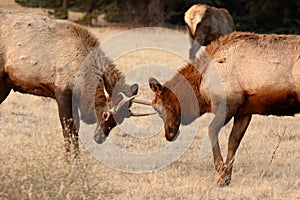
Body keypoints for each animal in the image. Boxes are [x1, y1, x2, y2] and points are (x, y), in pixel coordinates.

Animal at [148, 31, 300, 186]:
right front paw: (226, 177)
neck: (202, 85)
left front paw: (221, 171)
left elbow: (212, 131)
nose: (169, 134)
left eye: (159, 108)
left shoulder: (228, 104)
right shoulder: (244, 111)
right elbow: (234, 140)